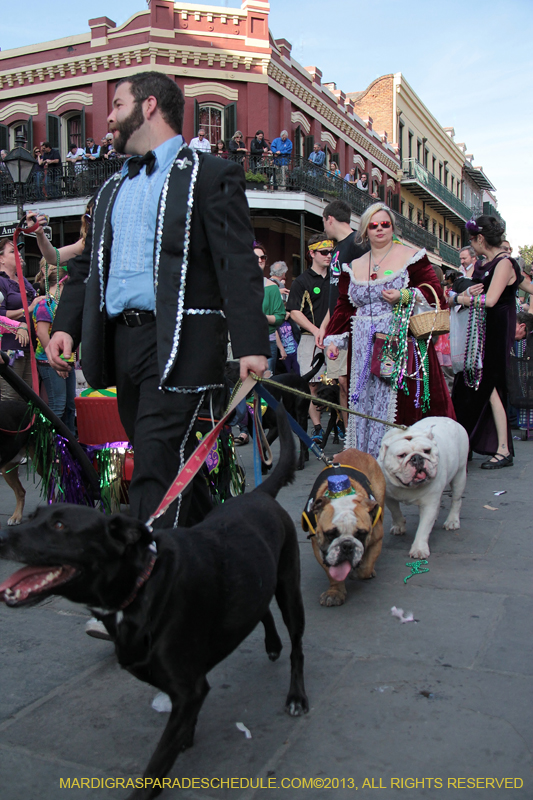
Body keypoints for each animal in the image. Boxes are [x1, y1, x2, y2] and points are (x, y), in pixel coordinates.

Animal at [0, 406, 308, 800]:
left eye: (59, 526)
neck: (142, 585)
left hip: (289, 588)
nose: (3, 536)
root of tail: (259, 495)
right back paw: (271, 643)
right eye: (35, 517)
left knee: (297, 647)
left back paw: (296, 696)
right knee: (260, 606)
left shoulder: (189, 690)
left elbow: (157, 764)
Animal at [302, 450, 384, 608]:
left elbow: (366, 567)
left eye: (362, 533)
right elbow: (332, 572)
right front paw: (335, 592)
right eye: (331, 534)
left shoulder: (377, 538)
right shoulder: (319, 547)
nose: (347, 545)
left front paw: (359, 571)